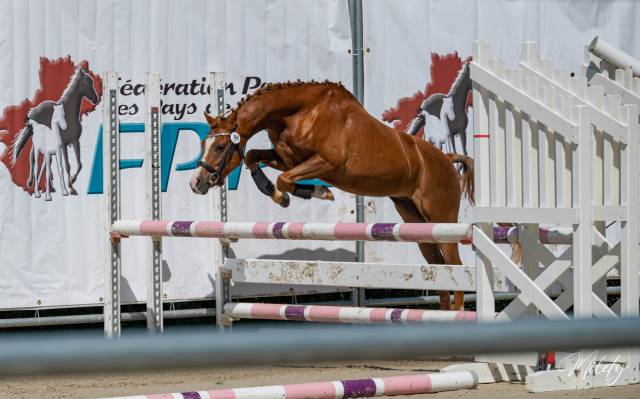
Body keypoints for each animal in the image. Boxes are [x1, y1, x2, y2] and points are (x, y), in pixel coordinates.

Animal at [191, 81, 476, 312]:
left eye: (220, 146)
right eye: (204, 144)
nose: (197, 183)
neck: (300, 112)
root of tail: (447, 159)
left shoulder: (327, 163)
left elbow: (285, 179)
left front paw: (307, 193)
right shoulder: (287, 159)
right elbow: (253, 156)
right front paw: (275, 191)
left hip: (442, 219)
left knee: (455, 264)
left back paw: (458, 313)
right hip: (416, 221)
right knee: (438, 265)